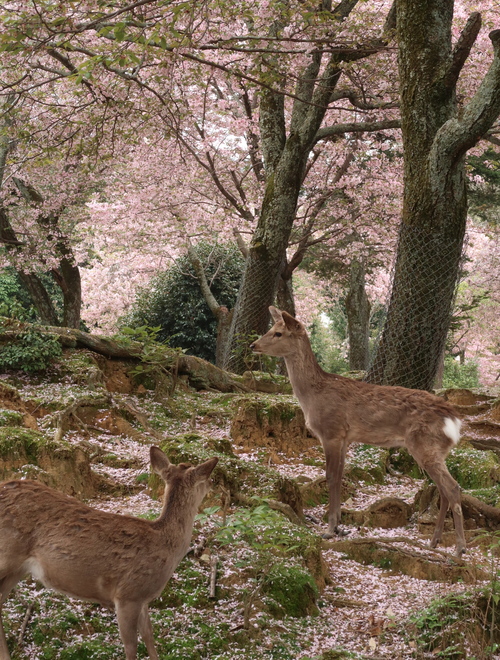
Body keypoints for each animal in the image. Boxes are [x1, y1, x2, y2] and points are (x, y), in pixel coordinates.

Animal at [0, 446, 219, 656]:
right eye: (204, 477)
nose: (213, 483)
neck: (166, 548)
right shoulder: (127, 594)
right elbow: (131, 645)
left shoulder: (142, 598)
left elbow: (149, 636)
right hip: (7, 557)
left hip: (17, 570)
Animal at [252, 306, 466, 556]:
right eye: (271, 328)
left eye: (278, 333)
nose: (253, 345)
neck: (312, 397)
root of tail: (454, 419)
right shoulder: (345, 438)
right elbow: (340, 476)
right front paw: (338, 526)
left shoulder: (331, 431)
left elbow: (330, 477)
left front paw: (329, 529)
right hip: (435, 449)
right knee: (442, 489)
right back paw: (434, 540)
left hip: (424, 444)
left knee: (452, 487)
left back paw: (460, 548)